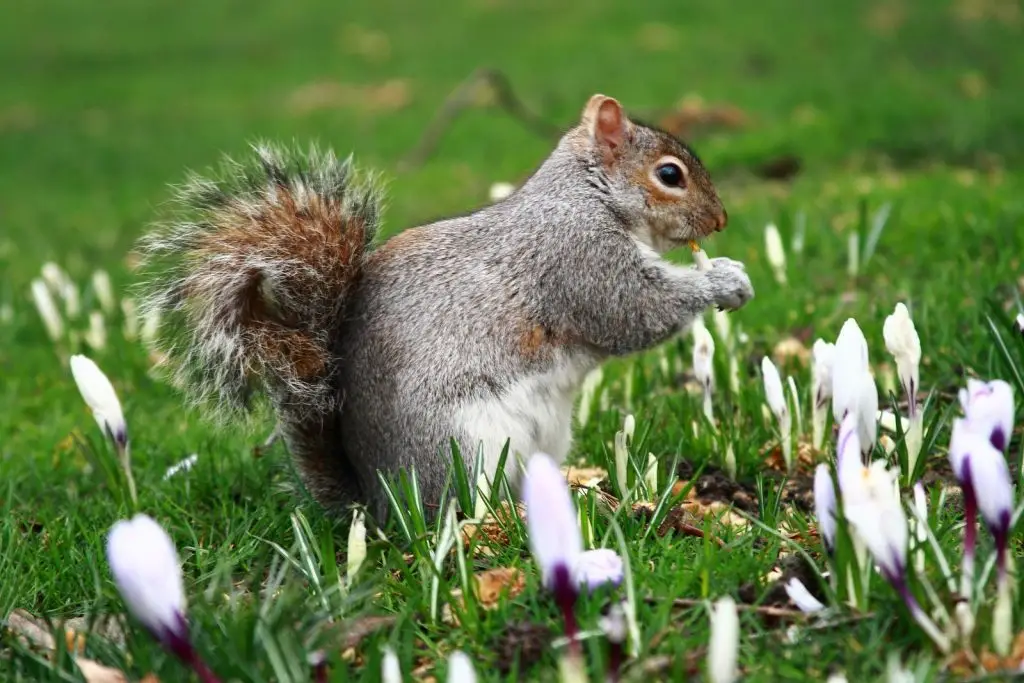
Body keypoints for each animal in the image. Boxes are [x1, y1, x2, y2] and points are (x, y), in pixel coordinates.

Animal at [138, 93, 753, 520]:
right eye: (669, 174)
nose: (722, 220)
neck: (587, 195)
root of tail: (380, 502)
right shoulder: (577, 259)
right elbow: (636, 310)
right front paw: (723, 280)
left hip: (545, 440)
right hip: (467, 446)